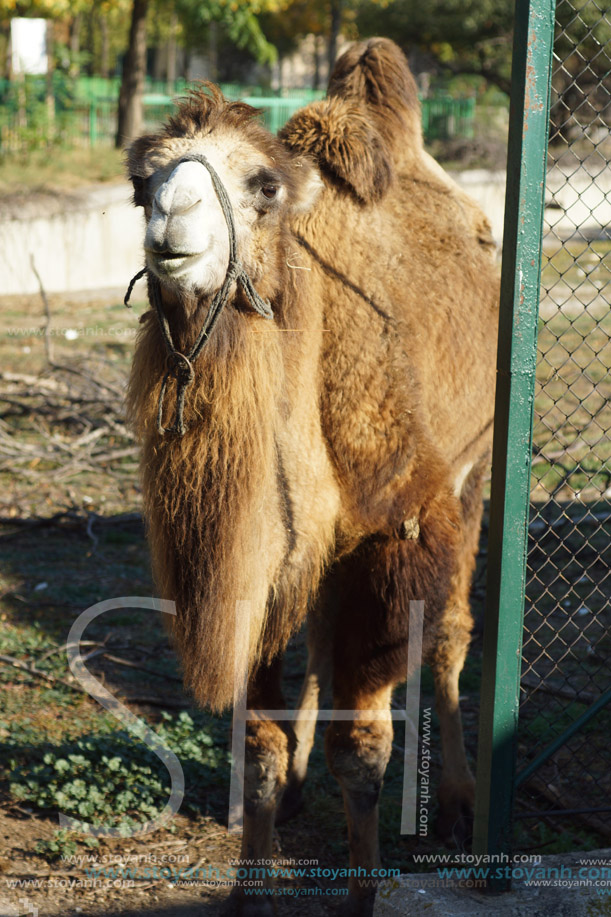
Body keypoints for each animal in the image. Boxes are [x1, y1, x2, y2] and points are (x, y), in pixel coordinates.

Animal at [125, 37, 502, 916]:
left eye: (262, 186)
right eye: (138, 184)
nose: (171, 222)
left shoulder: (394, 529)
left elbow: (363, 747)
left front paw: (361, 893)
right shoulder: (266, 552)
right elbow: (257, 737)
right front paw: (247, 885)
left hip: (472, 470)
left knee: (449, 633)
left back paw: (463, 803)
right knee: (321, 645)